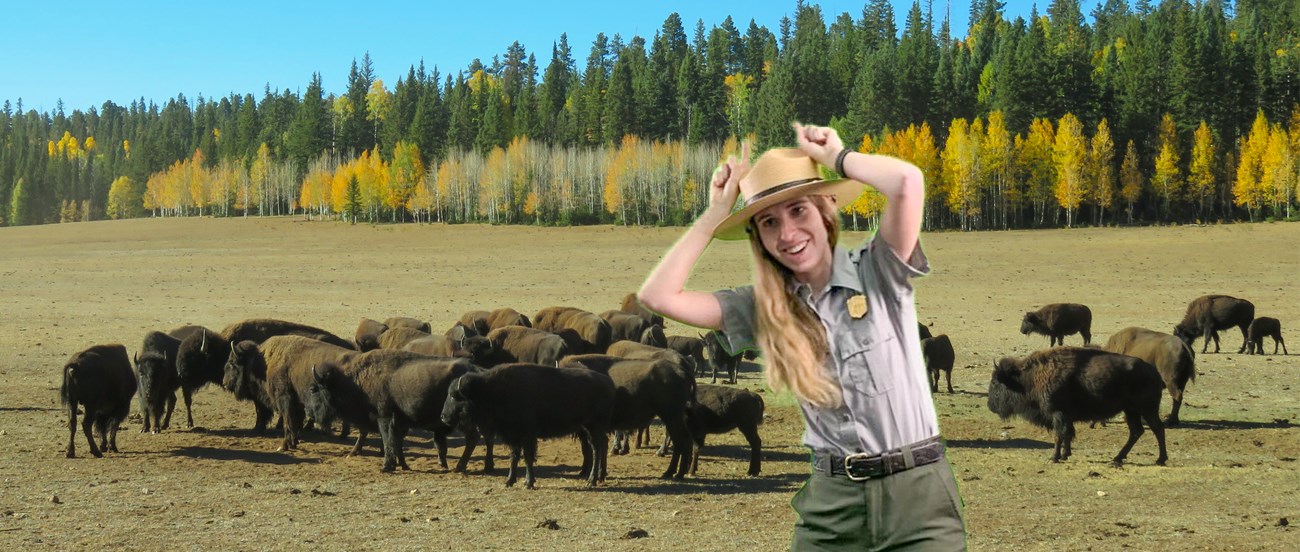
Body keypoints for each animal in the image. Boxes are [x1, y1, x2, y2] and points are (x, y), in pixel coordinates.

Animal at [441, 363, 613, 488]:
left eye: (453, 395)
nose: (443, 417)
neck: (490, 390)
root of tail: (608, 382)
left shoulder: (527, 436)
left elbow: (528, 457)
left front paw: (528, 482)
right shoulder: (513, 436)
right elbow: (514, 457)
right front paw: (509, 481)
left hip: (593, 427)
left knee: (597, 448)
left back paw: (591, 480)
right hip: (589, 428)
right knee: (601, 445)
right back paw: (600, 476)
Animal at [561, 353, 696, 477]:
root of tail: (682, 370)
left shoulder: (587, 429)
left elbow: (589, 449)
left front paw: (586, 472)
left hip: (671, 417)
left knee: (681, 441)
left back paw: (673, 473)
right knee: (682, 441)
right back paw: (675, 472)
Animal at [982, 345, 1170, 467]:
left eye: (996, 383)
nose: (990, 405)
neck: (1030, 378)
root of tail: (1155, 373)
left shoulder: (1057, 414)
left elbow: (1059, 435)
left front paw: (1054, 458)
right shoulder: (1066, 417)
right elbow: (1068, 434)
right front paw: (1065, 455)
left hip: (1146, 410)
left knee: (1157, 429)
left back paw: (1160, 459)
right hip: (1131, 411)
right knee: (1137, 431)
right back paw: (1117, 458)